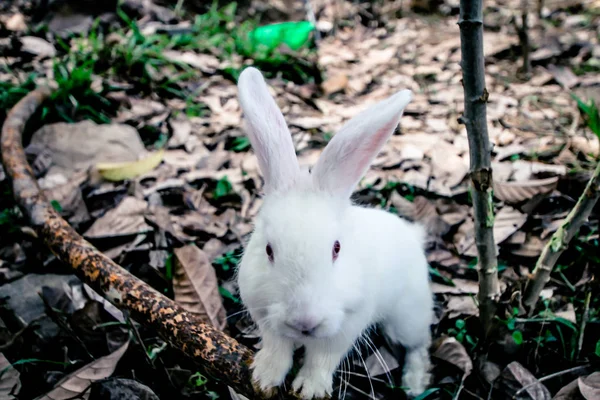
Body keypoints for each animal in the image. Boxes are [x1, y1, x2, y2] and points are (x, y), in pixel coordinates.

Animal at [233, 67, 432, 398]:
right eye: (269, 250)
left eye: (336, 249)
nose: (305, 321)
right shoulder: (264, 315)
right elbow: (277, 347)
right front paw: (264, 377)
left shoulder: (346, 326)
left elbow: (323, 359)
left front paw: (310, 389)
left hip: (408, 315)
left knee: (419, 343)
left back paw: (415, 383)